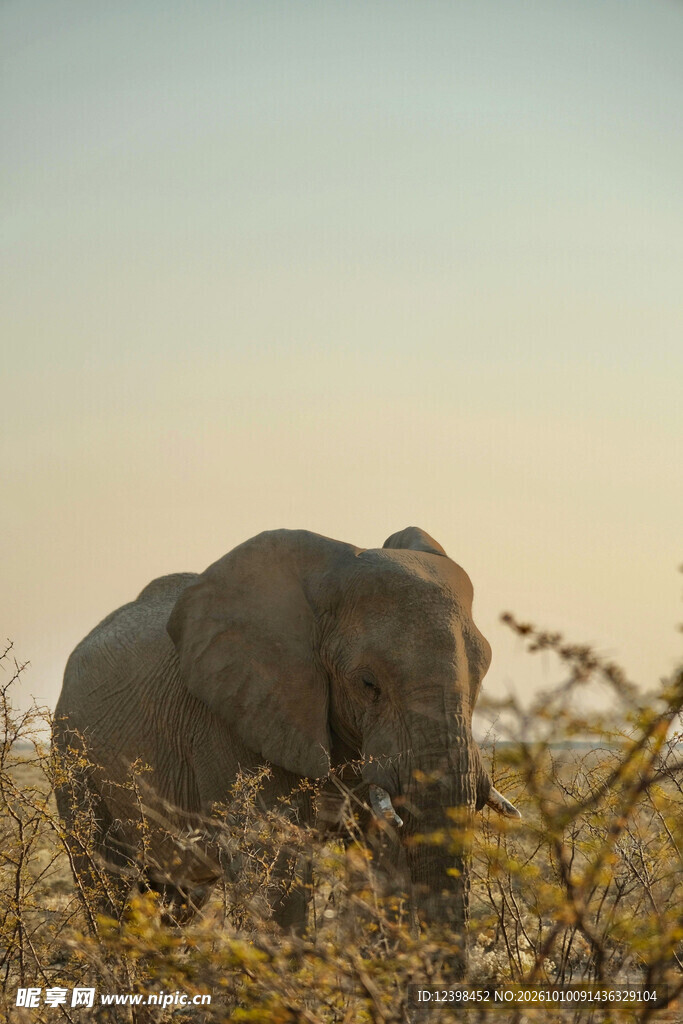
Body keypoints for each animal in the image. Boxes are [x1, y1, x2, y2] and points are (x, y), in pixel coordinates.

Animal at [53, 526, 519, 968]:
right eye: (368, 684)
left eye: (482, 675)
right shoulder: (231, 717)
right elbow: (276, 860)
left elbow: (382, 856)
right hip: (71, 754)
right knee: (106, 878)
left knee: (178, 896)